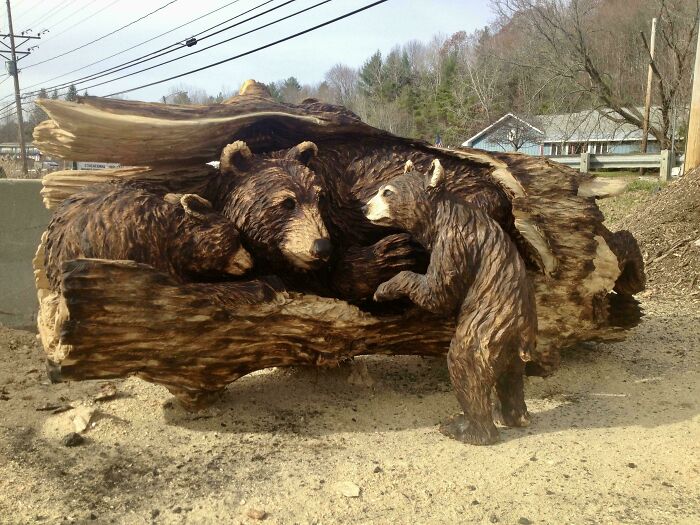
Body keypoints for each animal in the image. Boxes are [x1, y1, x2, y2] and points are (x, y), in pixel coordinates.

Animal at [363, 158, 537, 445]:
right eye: (379, 189)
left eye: (387, 192)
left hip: (486, 324)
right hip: (512, 342)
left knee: (466, 364)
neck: (438, 215)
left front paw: (384, 289)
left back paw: (467, 428)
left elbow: (438, 291)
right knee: (512, 377)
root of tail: (522, 329)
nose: (364, 207)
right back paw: (514, 416)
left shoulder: (454, 242)